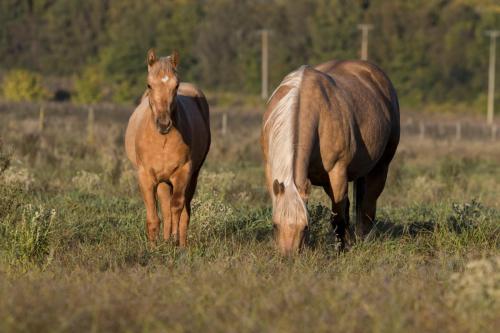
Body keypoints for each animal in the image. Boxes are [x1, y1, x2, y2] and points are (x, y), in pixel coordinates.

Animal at [127, 50, 211, 246]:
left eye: (176, 85)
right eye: (149, 85)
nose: (164, 124)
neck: (161, 141)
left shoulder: (183, 173)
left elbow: (177, 208)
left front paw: (175, 242)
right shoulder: (145, 177)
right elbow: (154, 217)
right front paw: (153, 247)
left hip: (192, 176)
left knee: (183, 210)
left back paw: (181, 243)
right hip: (163, 181)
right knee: (165, 209)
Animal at [262, 60, 398, 254]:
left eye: (305, 227)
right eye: (275, 225)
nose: (288, 257)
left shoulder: (338, 172)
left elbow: (338, 218)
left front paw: (340, 252)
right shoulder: (271, 169)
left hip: (380, 167)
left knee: (367, 207)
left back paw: (362, 240)